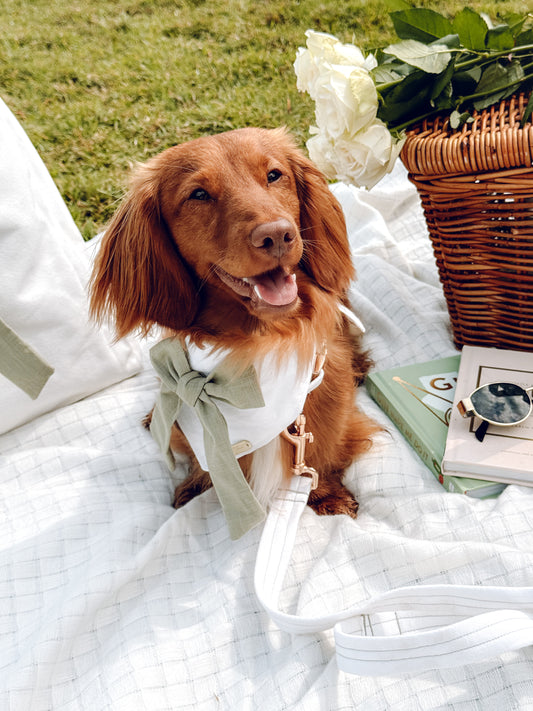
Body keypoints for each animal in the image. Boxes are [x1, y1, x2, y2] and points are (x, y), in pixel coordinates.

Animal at [89, 126, 376, 524]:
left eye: (274, 175)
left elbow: (322, 451)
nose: (277, 235)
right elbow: (197, 456)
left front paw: (326, 494)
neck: (257, 346)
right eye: (198, 194)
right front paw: (196, 484)